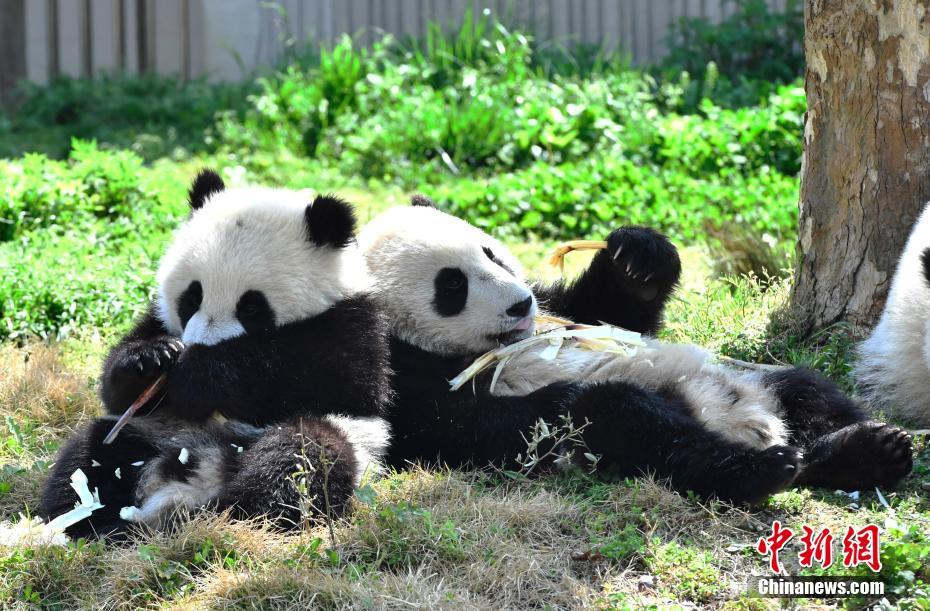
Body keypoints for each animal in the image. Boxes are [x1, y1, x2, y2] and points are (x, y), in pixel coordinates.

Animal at [39, 172, 388, 540]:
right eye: (192, 297)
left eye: (251, 308)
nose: (194, 346)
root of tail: (194, 473)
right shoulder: (159, 318)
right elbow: (116, 390)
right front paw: (152, 359)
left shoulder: (352, 328)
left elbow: (323, 380)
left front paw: (197, 376)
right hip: (148, 432)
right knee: (87, 460)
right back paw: (90, 523)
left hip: (342, 438)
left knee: (299, 461)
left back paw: (228, 514)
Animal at [358, 198, 912, 504]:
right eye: (451, 287)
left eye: (490, 253)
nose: (519, 305)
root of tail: (740, 420)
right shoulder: (399, 374)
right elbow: (463, 425)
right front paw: (557, 391)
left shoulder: (559, 306)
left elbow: (610, 313)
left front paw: (638, 257)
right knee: (629, 422)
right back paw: (761, 469)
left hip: (749, 376)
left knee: (805, 389)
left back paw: (869, 450)